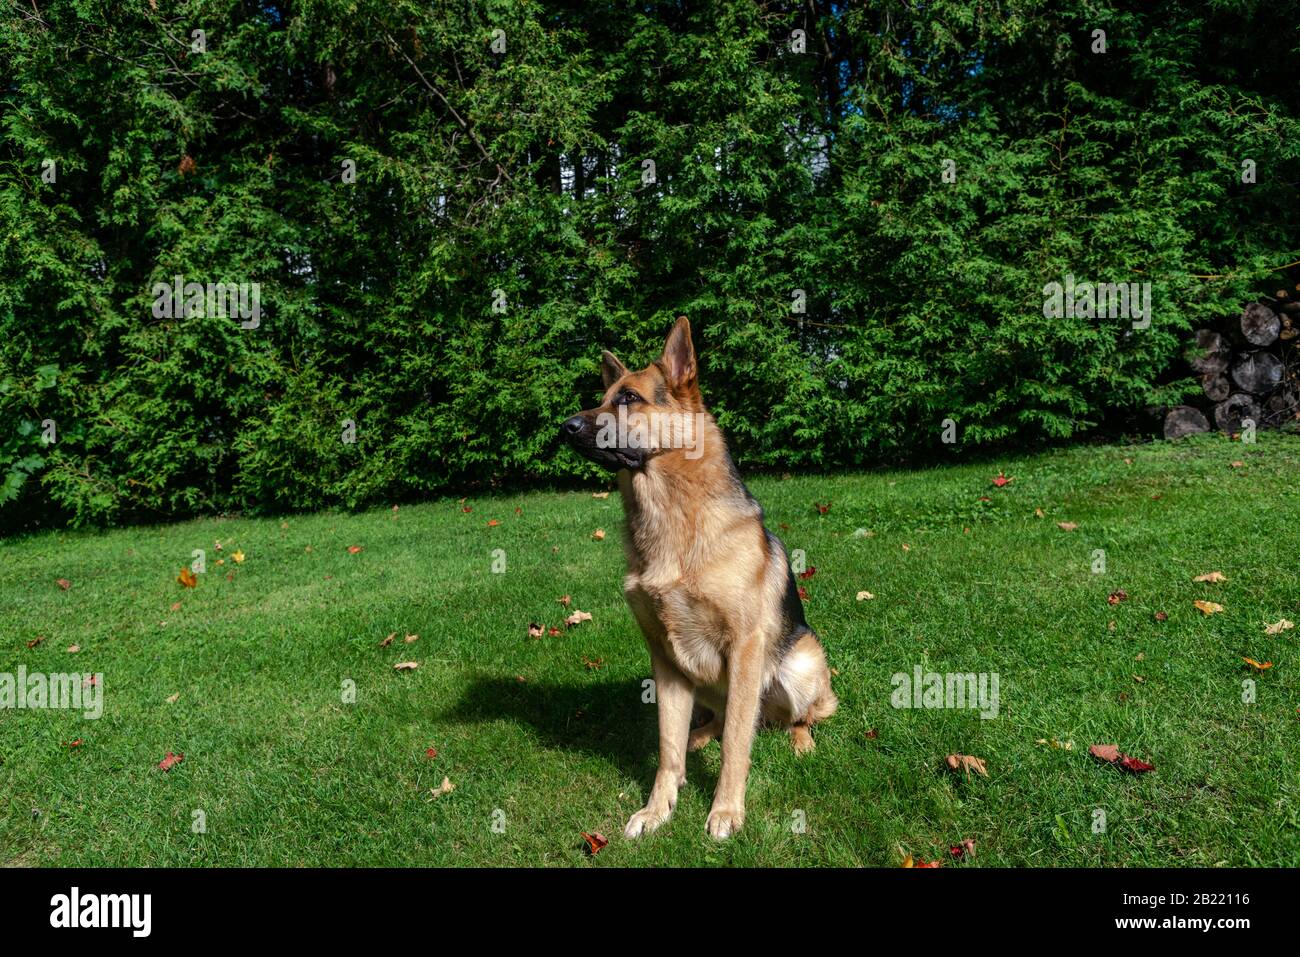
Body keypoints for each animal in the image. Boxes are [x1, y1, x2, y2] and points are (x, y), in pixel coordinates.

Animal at [564, 315, 837, 837]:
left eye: (629, 399)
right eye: (604, 397)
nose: (564, 427)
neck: (673, 517)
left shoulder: (746, 646)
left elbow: (736, 744)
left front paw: (726, 810)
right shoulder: (666, 659)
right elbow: (668, 745)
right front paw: (658, 808)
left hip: (796, 666)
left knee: (788, 719)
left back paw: (801, 742)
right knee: (721, 720)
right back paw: (698, 737)